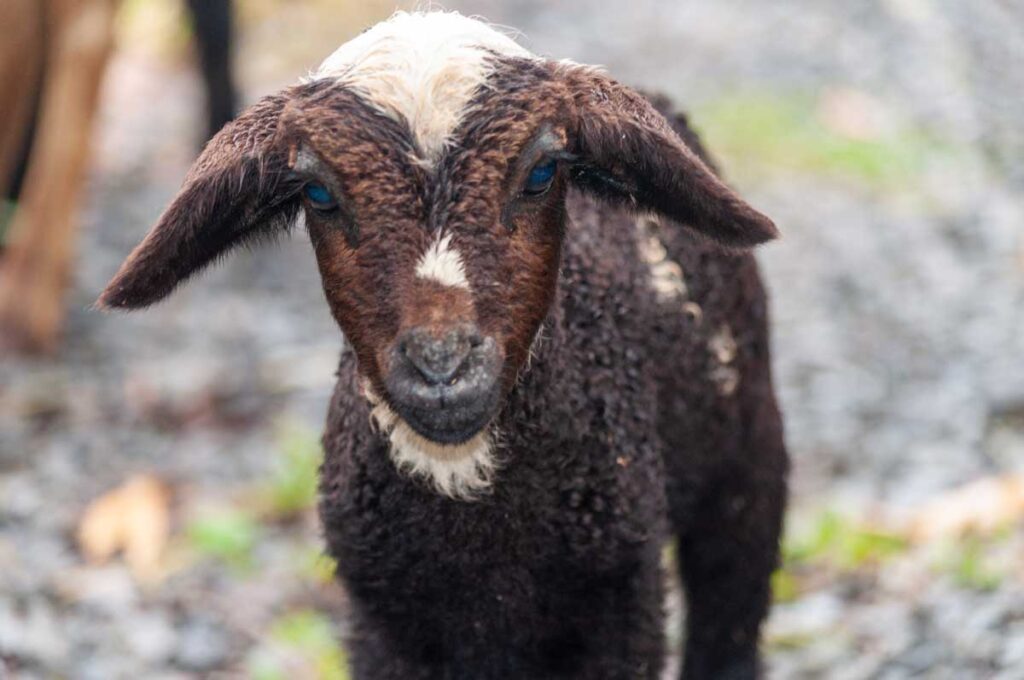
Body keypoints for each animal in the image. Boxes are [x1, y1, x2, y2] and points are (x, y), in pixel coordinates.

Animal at [97, 11, 782, 680]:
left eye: (542, 173)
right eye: (318, 194)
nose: (442, 367)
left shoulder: (624, 597)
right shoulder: (379, 617)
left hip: (748, 456)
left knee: (730, 614)